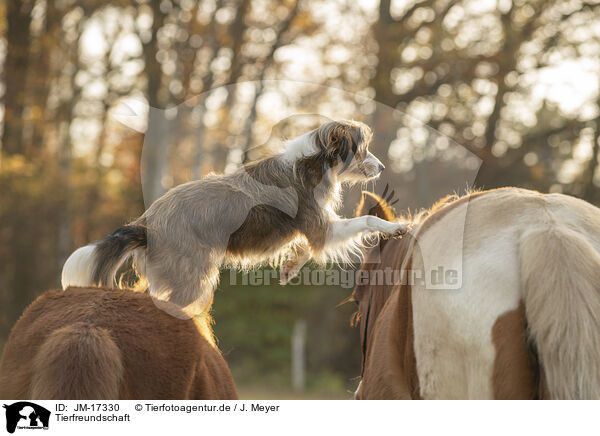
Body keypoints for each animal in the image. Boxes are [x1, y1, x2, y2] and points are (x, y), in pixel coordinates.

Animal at [61, 119, 408, 314]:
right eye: (362, 149)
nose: (382, 167)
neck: (316, 159)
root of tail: (145, 223)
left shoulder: (314, 229)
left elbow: (304, 248)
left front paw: (290, 268)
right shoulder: (321, 228)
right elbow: (367, 221)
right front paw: (396, 227)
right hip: (193, 279)